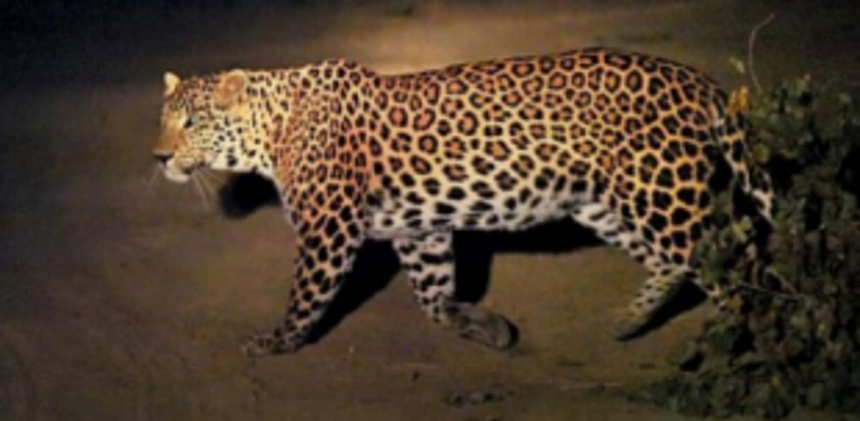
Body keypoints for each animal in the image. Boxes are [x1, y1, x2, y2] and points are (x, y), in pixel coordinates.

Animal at [154, 48, 773, 357]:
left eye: (193, 122)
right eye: (163, 119)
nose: (158, 157)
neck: (272, 131)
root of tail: (696, 81)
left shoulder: (329, 230)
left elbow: (307, 295)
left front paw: (276, 342)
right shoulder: (418, 229)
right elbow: (432, 295)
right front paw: (485, 325)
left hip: (659, 192)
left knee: (732, 257)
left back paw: (735, 338)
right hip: (607, 202)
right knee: (680, 261)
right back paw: (628, 320)